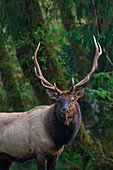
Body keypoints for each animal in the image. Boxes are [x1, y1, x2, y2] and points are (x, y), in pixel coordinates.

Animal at [0, 36, 102, 170]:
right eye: (57, 100)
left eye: (72, 99)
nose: (64, 110)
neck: (57, 139)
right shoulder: (39, 151)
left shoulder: (55, 155)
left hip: (6, 158)